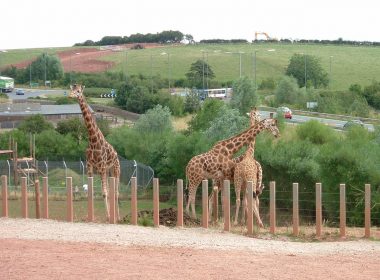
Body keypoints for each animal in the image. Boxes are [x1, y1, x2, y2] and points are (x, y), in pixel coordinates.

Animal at [69, 83, 120, 221]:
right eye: (71, 89)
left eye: (78, 91)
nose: (70, 95)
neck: (93, 140)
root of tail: (116, 154)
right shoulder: (90, 166)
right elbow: (90, 193)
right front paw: (89, 217)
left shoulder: (101, 166)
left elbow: (104, 193)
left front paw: (108, 217)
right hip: (108, 171)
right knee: (111, 191)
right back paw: (114, 215)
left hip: (115, 169)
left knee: (116, 192)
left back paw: (117, 217)